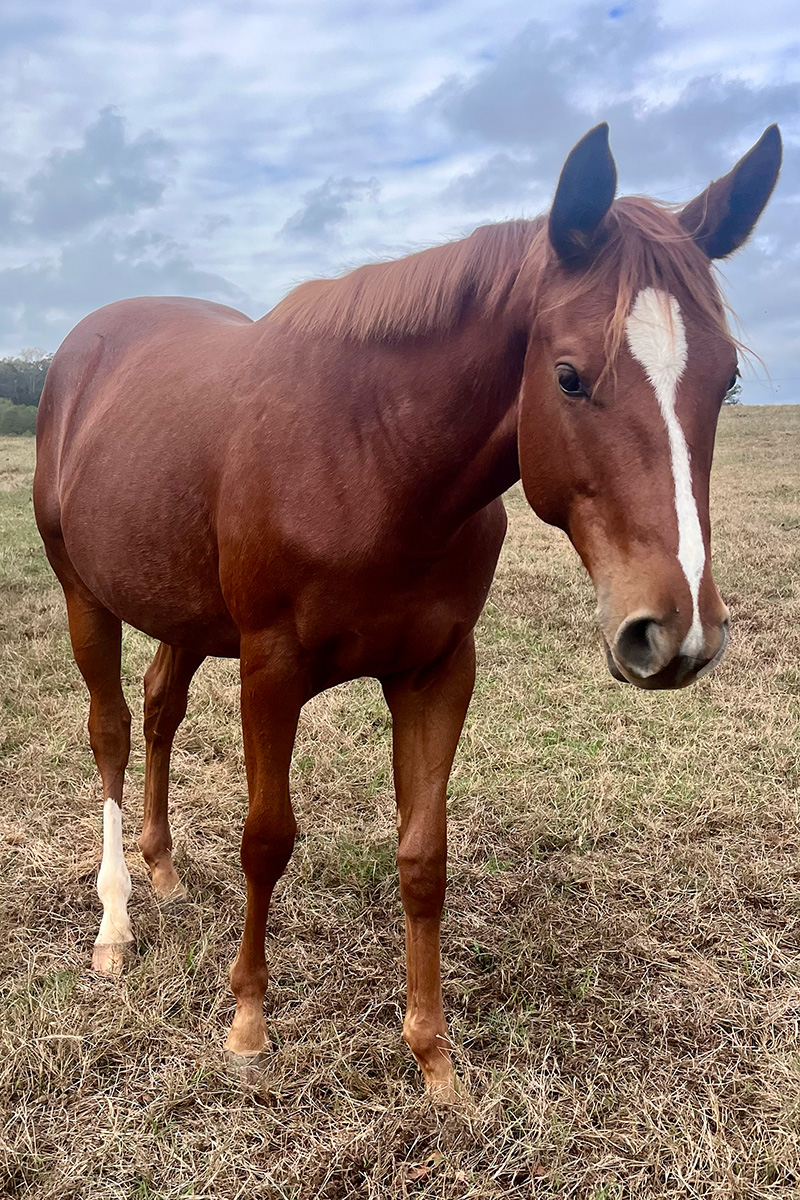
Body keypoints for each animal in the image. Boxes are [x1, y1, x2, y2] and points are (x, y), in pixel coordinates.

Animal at [37, 124, 782, 1099]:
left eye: (724, 381)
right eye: (569, 376)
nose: (677, 630)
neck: (371, 453)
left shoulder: (437, 671)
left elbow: (424, 855)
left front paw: (432, 1055)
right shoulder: (271, 670)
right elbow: (266, 839)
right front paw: (248, 1019)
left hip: (185, 614)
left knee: (162, 709)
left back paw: (163, 871)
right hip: (86, 599)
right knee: (115, 733)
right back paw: (117, 923)